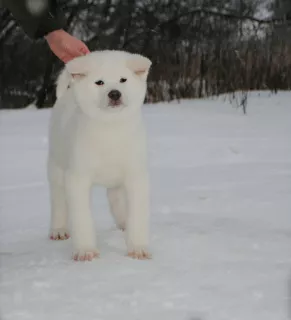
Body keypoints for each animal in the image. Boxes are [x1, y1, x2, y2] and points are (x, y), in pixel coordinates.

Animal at [47, 49, 153, 260]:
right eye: (99, 82)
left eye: (123, 80)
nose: (114, 93)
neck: (109, 128)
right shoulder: (77, 178)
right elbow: (82, 217)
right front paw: (85, 250)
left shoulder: (136, 175)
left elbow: (137, 215)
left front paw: (137, 247)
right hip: (57, 168)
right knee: (59, 201)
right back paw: (59, 230)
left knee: (116, 199)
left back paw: (123, 222)